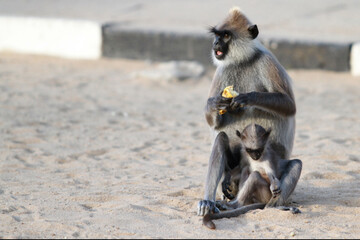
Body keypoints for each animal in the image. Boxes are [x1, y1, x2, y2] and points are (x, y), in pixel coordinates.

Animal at [198, 7, 302, 218]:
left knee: (295, 164)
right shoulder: (222, 70)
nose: (215, 44)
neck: (243, 60)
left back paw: (275, 206)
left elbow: (289, 105)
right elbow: (214, 122)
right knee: (221, 139)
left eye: (226, 35)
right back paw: (209, 201)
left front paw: (246, 98)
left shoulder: (267, 61)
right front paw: (215, 103)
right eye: (217, 35)